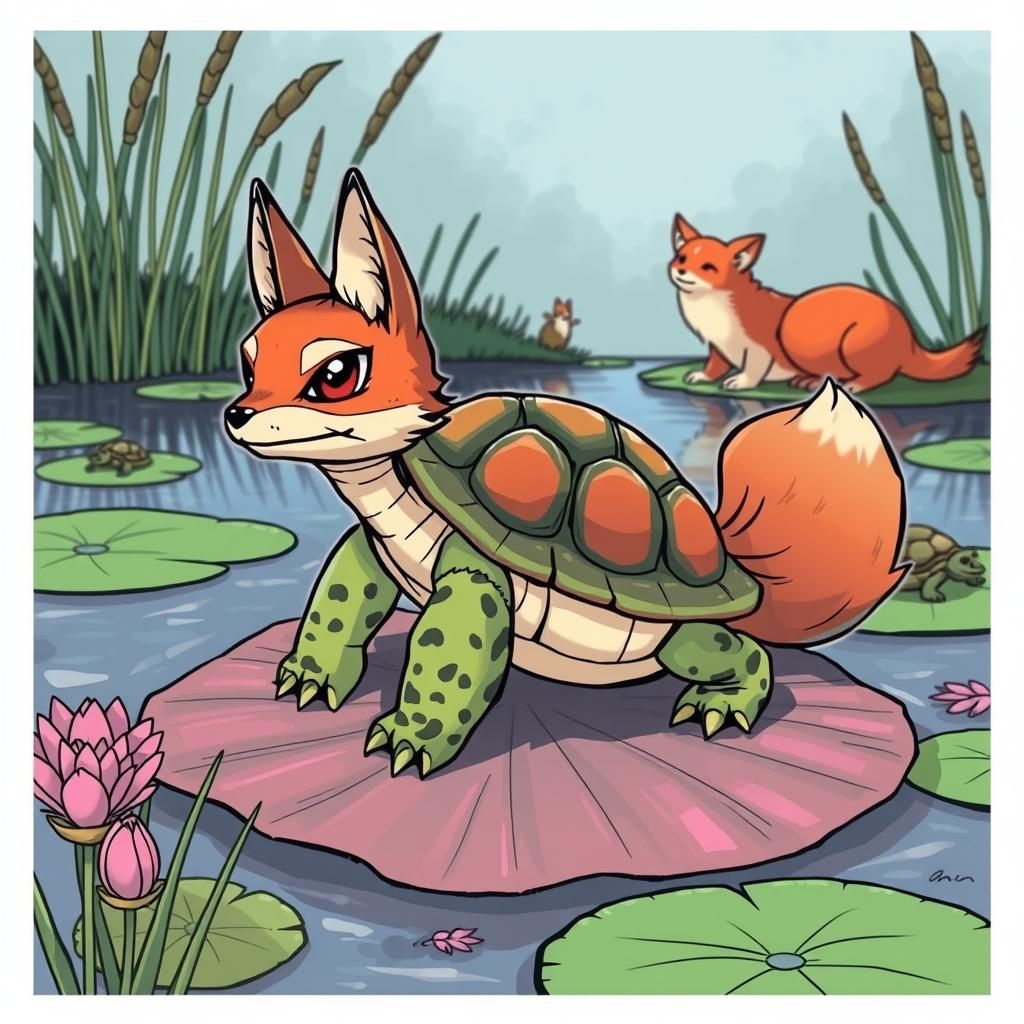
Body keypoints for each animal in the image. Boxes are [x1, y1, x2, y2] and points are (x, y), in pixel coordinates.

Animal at [223, 168, 906, 778]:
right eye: (248, 360)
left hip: (680, 628)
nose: (236, 414)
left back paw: (721, 703)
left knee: (728, 651)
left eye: (337, 375)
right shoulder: (375, 542)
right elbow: (340, 596)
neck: (396, 496)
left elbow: (450, 653)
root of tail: (727, 562)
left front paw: (409, 739)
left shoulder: (476, 568)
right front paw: (309, 679)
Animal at [668, 214, 984, 394]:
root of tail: (908, 337)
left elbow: (754, 368)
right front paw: (702, 375)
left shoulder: (760, 348)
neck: (715, 312)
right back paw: (809, 381)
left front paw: (741, 382)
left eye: (708, 267)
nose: (680, 271)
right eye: (682, 257)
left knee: (879, 374)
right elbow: (715, 365)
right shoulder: (717, 346)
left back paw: (852, 384)